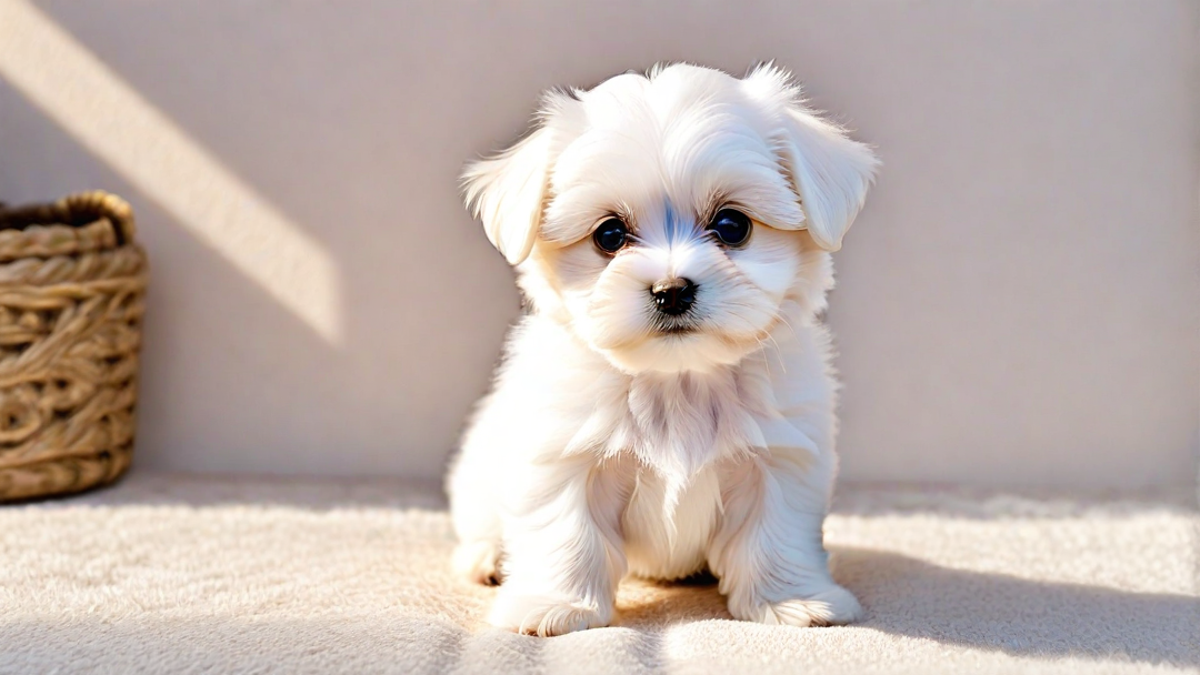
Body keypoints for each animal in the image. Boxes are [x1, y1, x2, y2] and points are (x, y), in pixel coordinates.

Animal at [446, 60, 878, 634]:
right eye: (609, 235)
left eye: (732, 225)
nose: (671, 290)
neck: (678, 383)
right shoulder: (562, 456)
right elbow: (566, 533)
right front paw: (554, 604)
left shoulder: (781, 459)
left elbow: (776, 533)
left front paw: (793, 601)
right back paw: (487, 558)